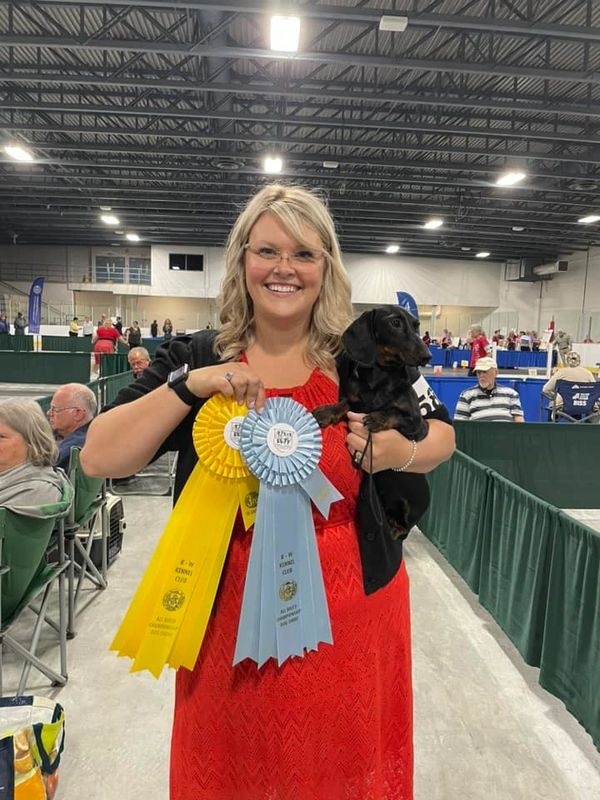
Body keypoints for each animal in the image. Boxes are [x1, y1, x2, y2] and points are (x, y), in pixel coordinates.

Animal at [313, 305, 432, 547]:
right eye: (395, 323)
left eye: (417, 326)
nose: (428, 356)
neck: (381, 377)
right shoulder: (355, 403)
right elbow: (346, 403)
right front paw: (327, 412)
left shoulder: (418, 426)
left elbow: (394, 414)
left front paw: (377, 417)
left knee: (405, 527)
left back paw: (395, 528)